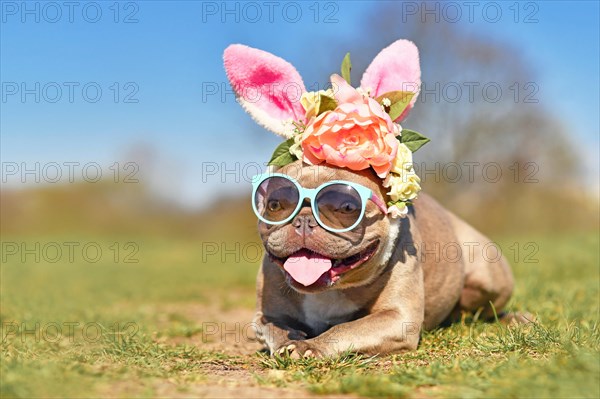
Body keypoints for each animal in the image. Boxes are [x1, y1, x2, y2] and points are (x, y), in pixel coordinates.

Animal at [223, 42, 516, 358]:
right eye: (275, 205)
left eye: (347, 207)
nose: (303, 220)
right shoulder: (265, 316)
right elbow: (274, 328)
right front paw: (290, 341)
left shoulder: (396, 318)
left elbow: (346, 329)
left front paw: (312, 345)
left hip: (488, 273)